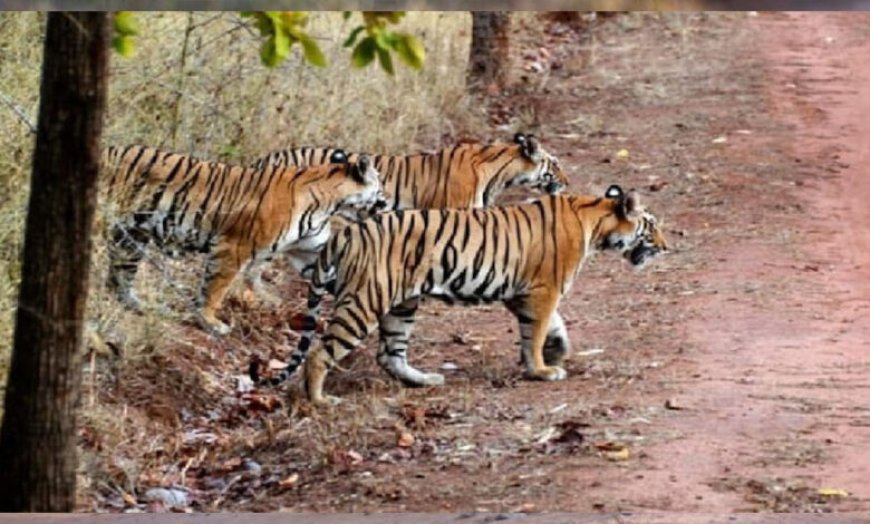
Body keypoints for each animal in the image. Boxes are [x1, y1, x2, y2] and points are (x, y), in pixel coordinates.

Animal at [99, 145, 384, 334]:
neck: (330, 203)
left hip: (132, 236)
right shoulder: (233, 247)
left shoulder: (311, 251)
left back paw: (137, 304)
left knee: (120, 274)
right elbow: (216, 287)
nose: (386, 202)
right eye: (380, 187)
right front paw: (210, 322)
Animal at [249, 184, 672, 406]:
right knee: (320, 352)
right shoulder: (543, 289)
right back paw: (320, 400)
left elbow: (550, 327)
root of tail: (346, 233)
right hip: (365, 301)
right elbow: (537, 331)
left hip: (402, 304)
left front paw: (555, 352)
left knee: (390, 354)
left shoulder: (522, 293)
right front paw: (542, 369)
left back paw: (424, 380)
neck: (593, 219)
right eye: (651, 225)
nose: (668, 246)